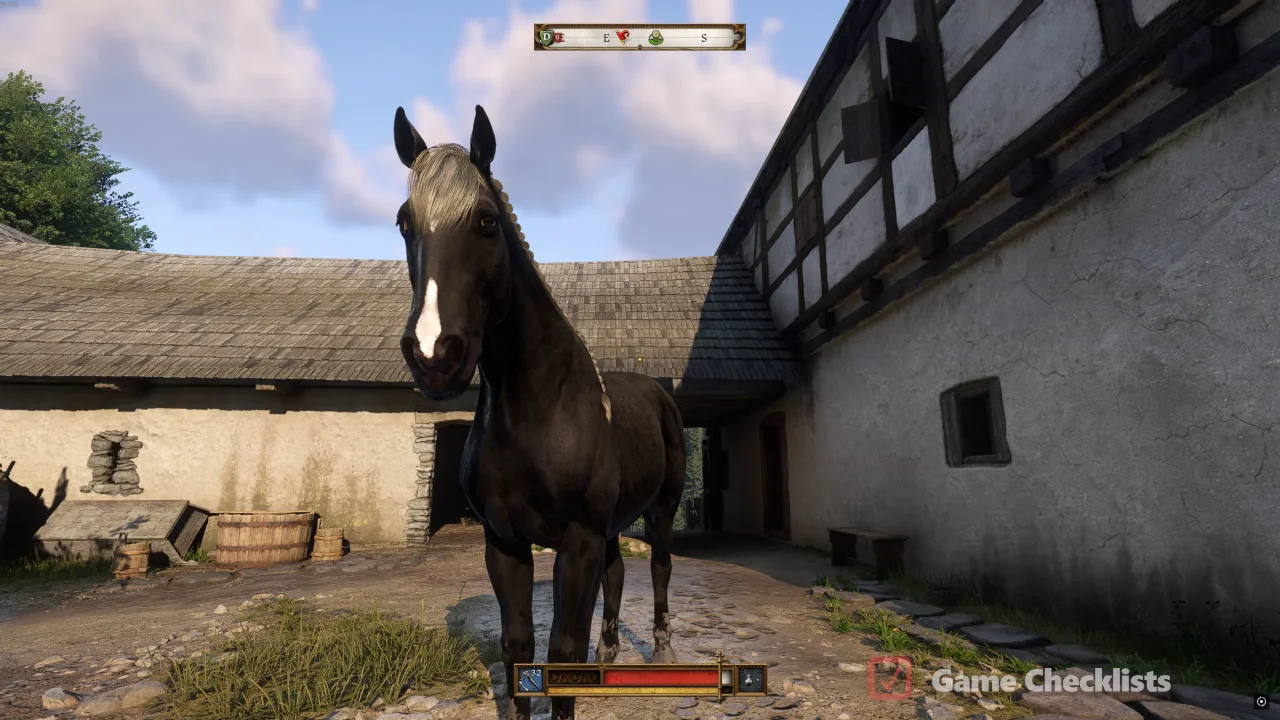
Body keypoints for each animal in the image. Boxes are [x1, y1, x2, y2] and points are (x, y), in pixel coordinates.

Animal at [393, 104, 687, 720]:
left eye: (486, 221)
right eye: (405, 222)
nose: (434, 355)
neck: (535, 412)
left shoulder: (576, 540)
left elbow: (563, 650)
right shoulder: (505, 542)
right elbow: (519, 647)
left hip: (661, 510)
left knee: (660, 568)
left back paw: (663, 650)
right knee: (616, 573)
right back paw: (611, 655)